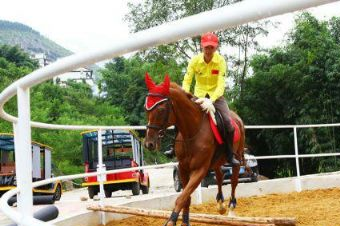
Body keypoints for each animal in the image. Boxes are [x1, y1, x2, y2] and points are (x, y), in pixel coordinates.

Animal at [143, 73, 244, 225]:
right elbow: (186, 198)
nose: (149, 143)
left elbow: (182, 197)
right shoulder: (183, 168)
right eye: (146, 108)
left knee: (234, 180)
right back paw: (220, 204)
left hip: (236, 156)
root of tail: (237, 118)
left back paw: (231, 208)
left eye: (161, 110)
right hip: (216, 162)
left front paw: (171, 221)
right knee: (220, 176)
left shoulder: (199, 170)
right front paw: (185, 221)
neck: (192, 131)